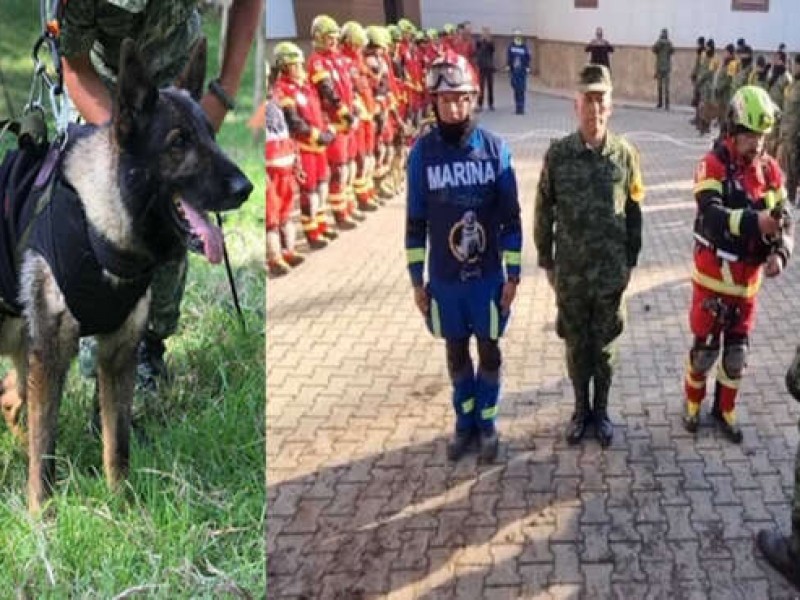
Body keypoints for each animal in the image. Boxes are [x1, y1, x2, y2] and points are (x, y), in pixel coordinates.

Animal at [0, 39, 252, 512]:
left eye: (211, 135)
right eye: (178, 142)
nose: (245, 189)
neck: (100, 226)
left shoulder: (118, 355)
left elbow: (116, 444)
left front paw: (122, 503)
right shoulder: (53, 353)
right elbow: (46, 451)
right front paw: (41, 514)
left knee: (11, 394)